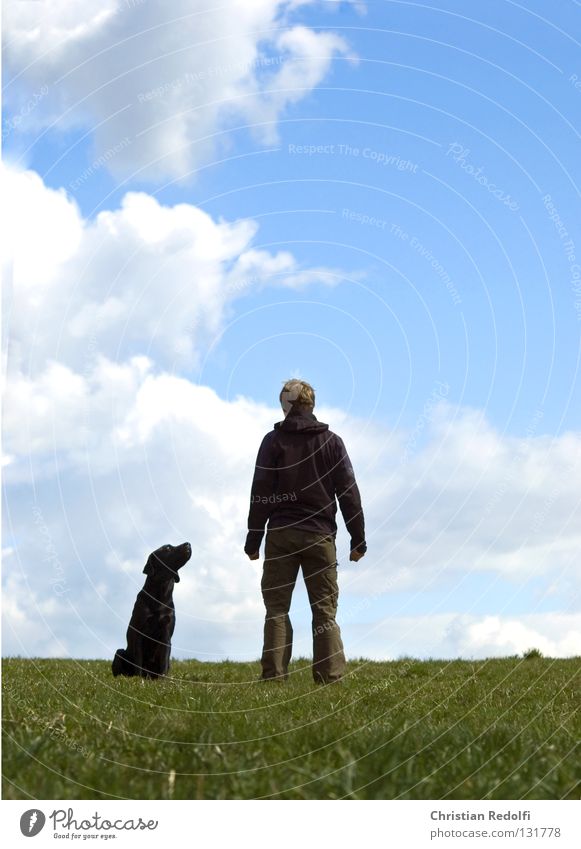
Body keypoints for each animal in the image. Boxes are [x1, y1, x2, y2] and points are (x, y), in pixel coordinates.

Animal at [110, 548, 189, 680]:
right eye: (167, 548)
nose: (188, 544)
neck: (161, 595)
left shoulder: (166, 635)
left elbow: (164, 662)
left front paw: (163, 681)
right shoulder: (139, 633)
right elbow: (138, 662)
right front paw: (138, 679)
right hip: (119, 653)